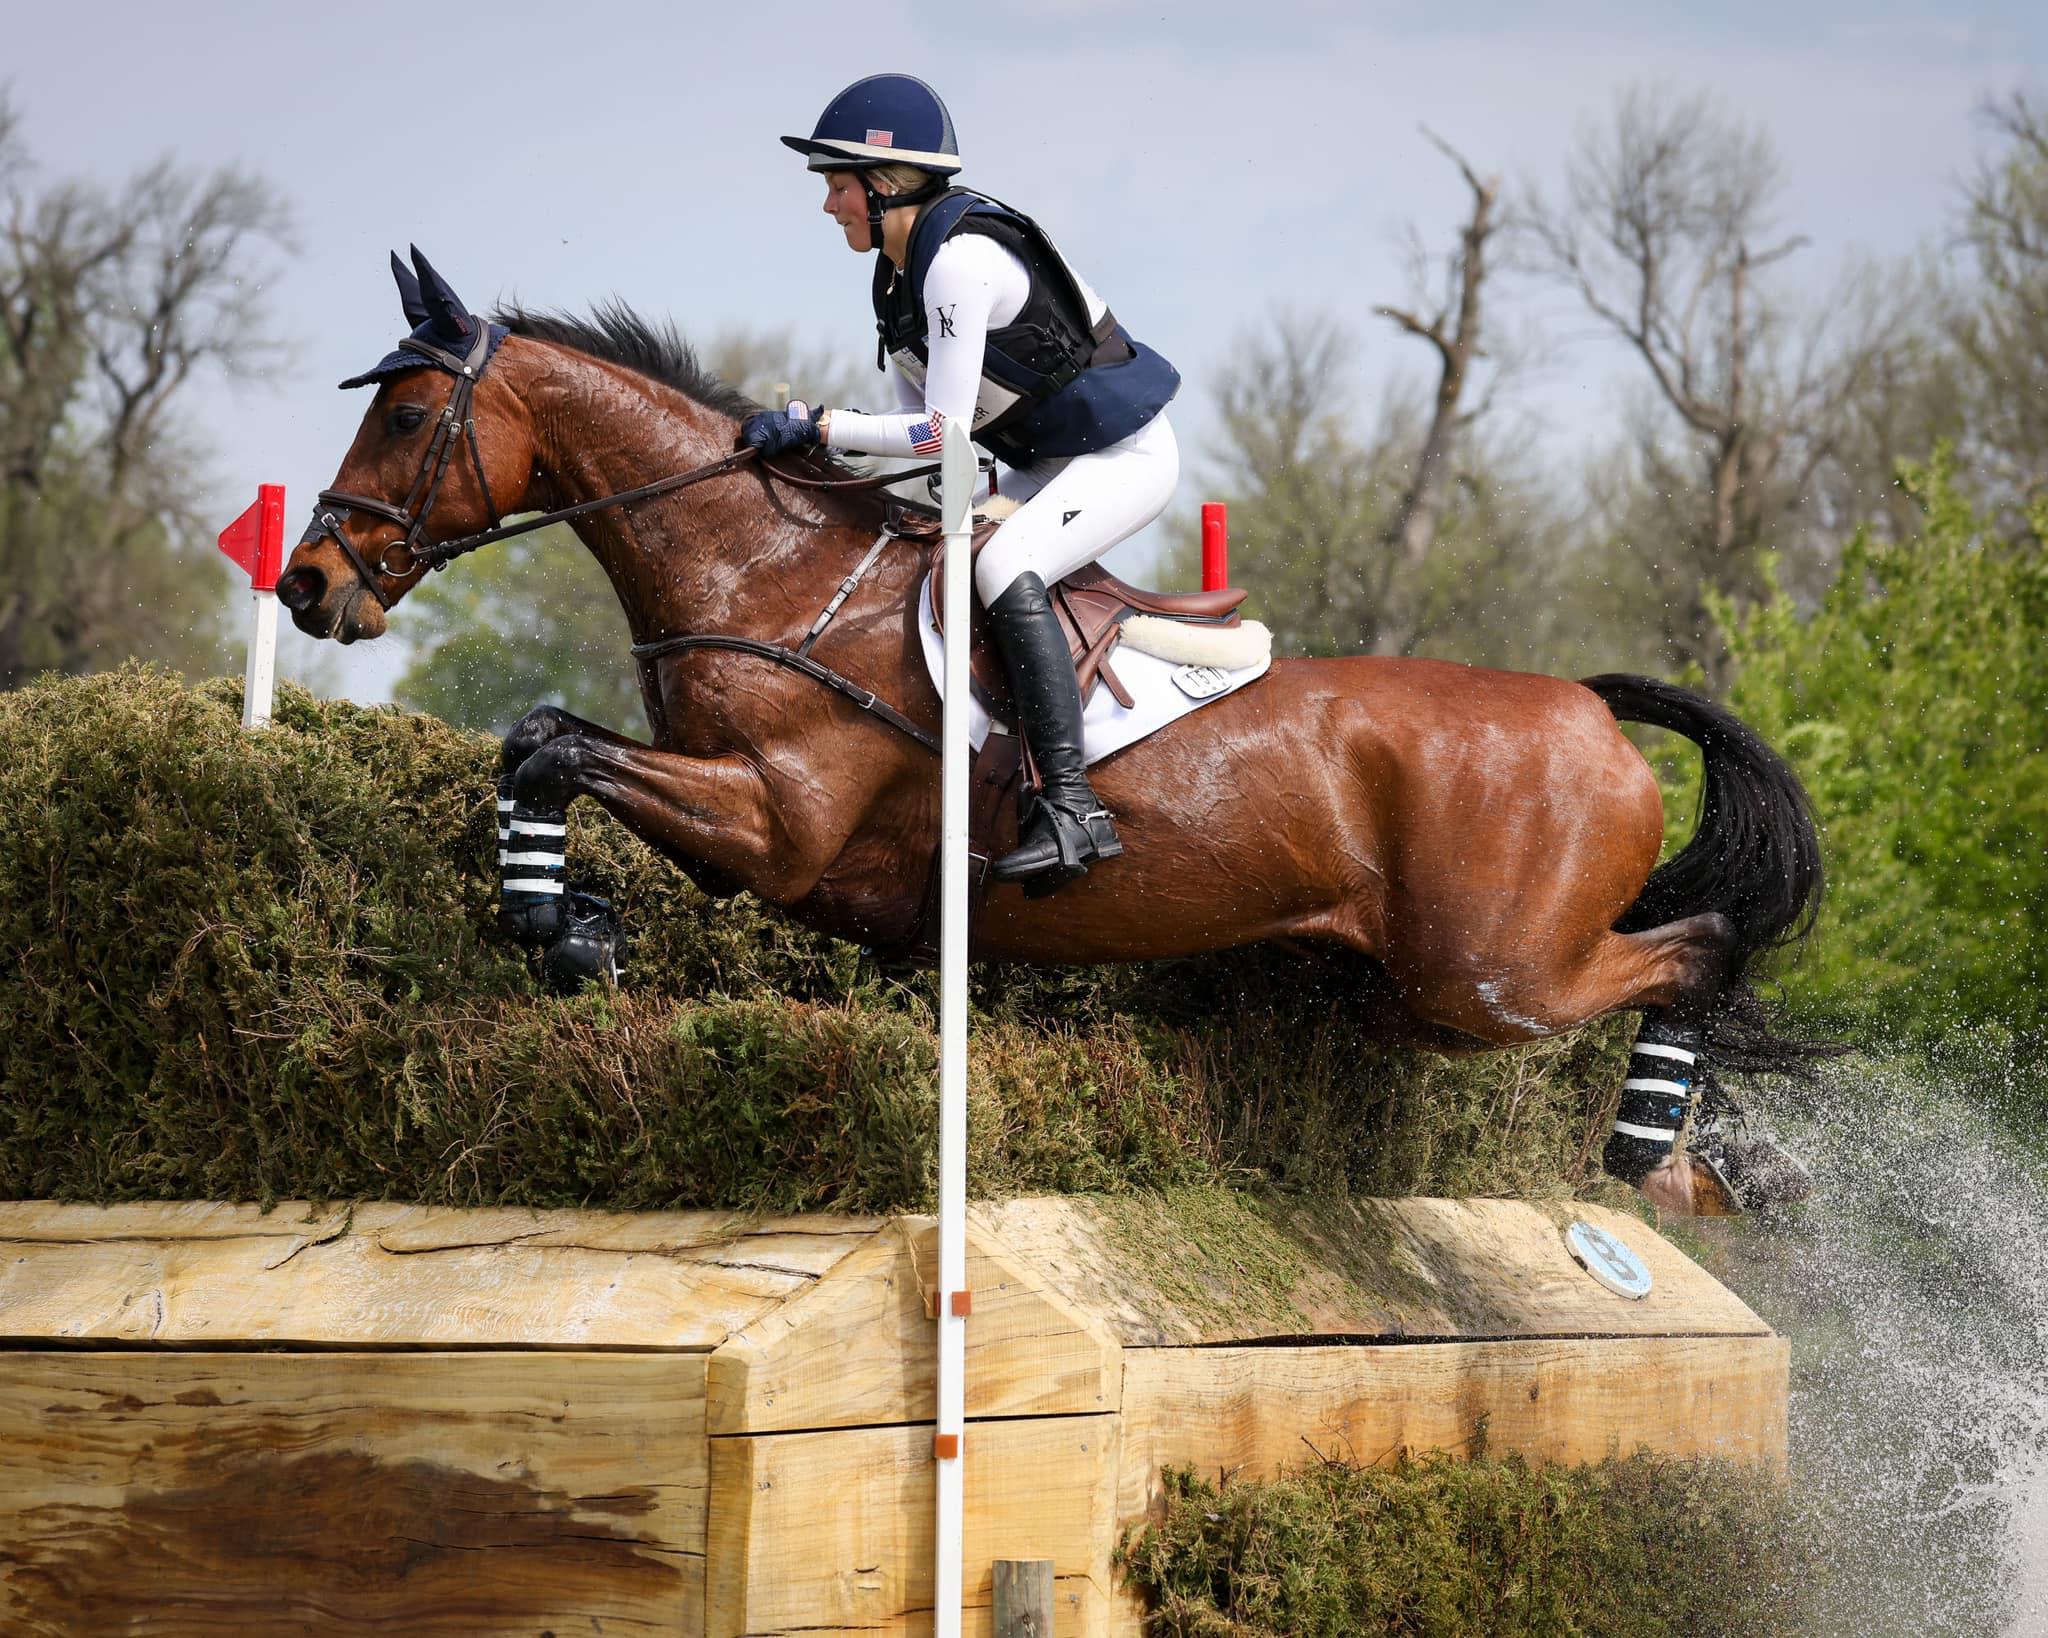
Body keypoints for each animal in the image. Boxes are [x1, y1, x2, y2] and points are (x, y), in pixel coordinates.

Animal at [276, 259, 1826, 1212]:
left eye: (405, 414)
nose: (307, 584)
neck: (760, 571)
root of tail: (1586, 706)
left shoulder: (775, 826)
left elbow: (552, 749)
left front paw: (565, 930)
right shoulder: (737, 827)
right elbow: (539, 737)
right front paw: (570, 923)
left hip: (1489, 978)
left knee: (1692, 952)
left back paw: (1667, 1159)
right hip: (1404, 986)